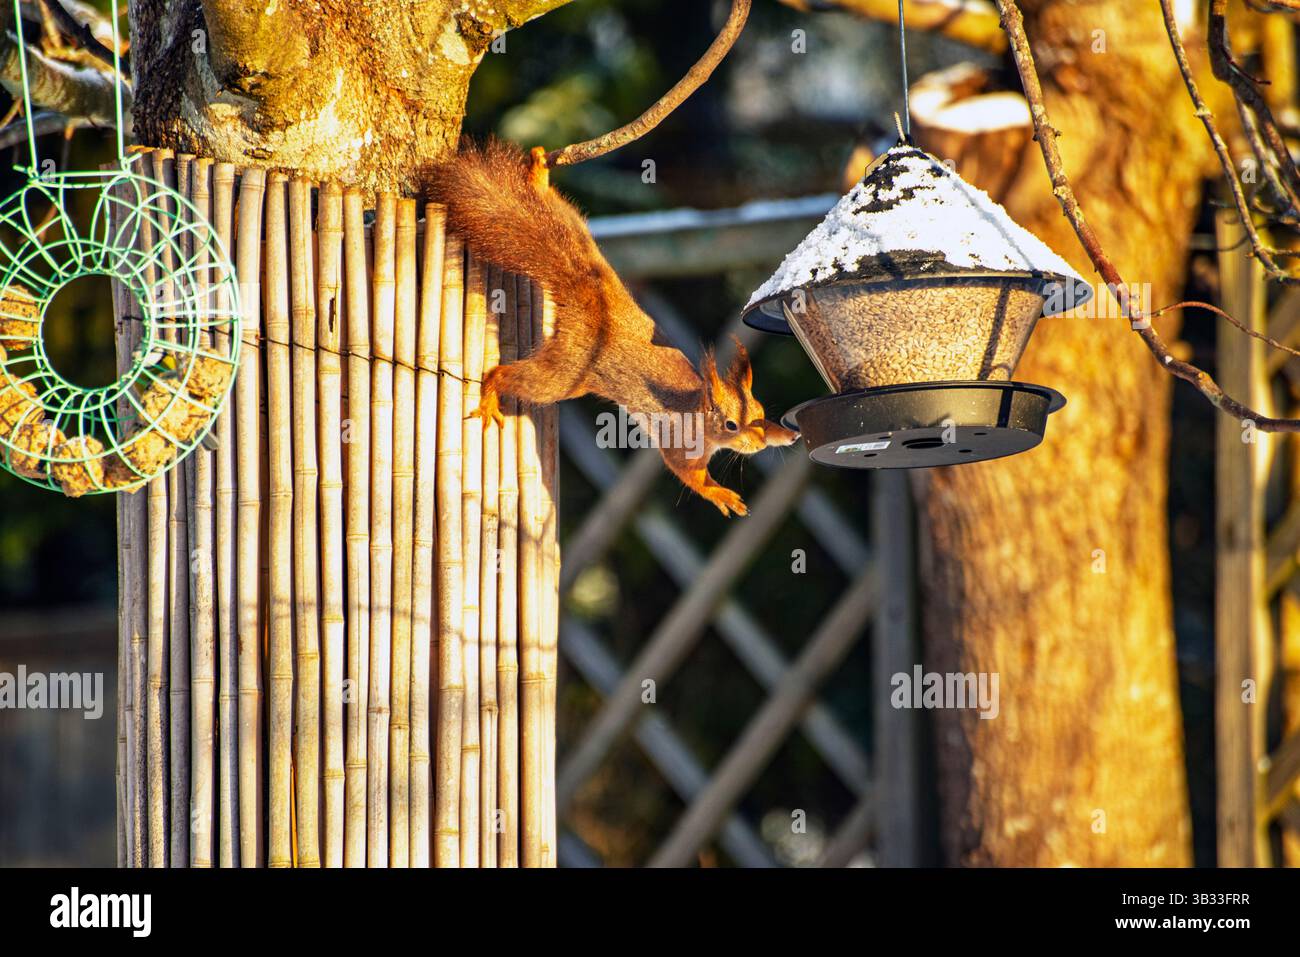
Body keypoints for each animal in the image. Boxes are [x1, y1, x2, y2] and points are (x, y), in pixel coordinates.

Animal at [428, 140, 798, 517]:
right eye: (730, 425)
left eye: (761, 413)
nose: (760, 442)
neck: (697, 409)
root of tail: (591, 300)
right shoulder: (678, 442)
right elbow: (690, 476)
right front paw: (720, 493)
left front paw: (784, 435)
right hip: (565, 374)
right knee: (509, 377)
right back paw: (490, 395)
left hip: (576, 230)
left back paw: (538, 175)